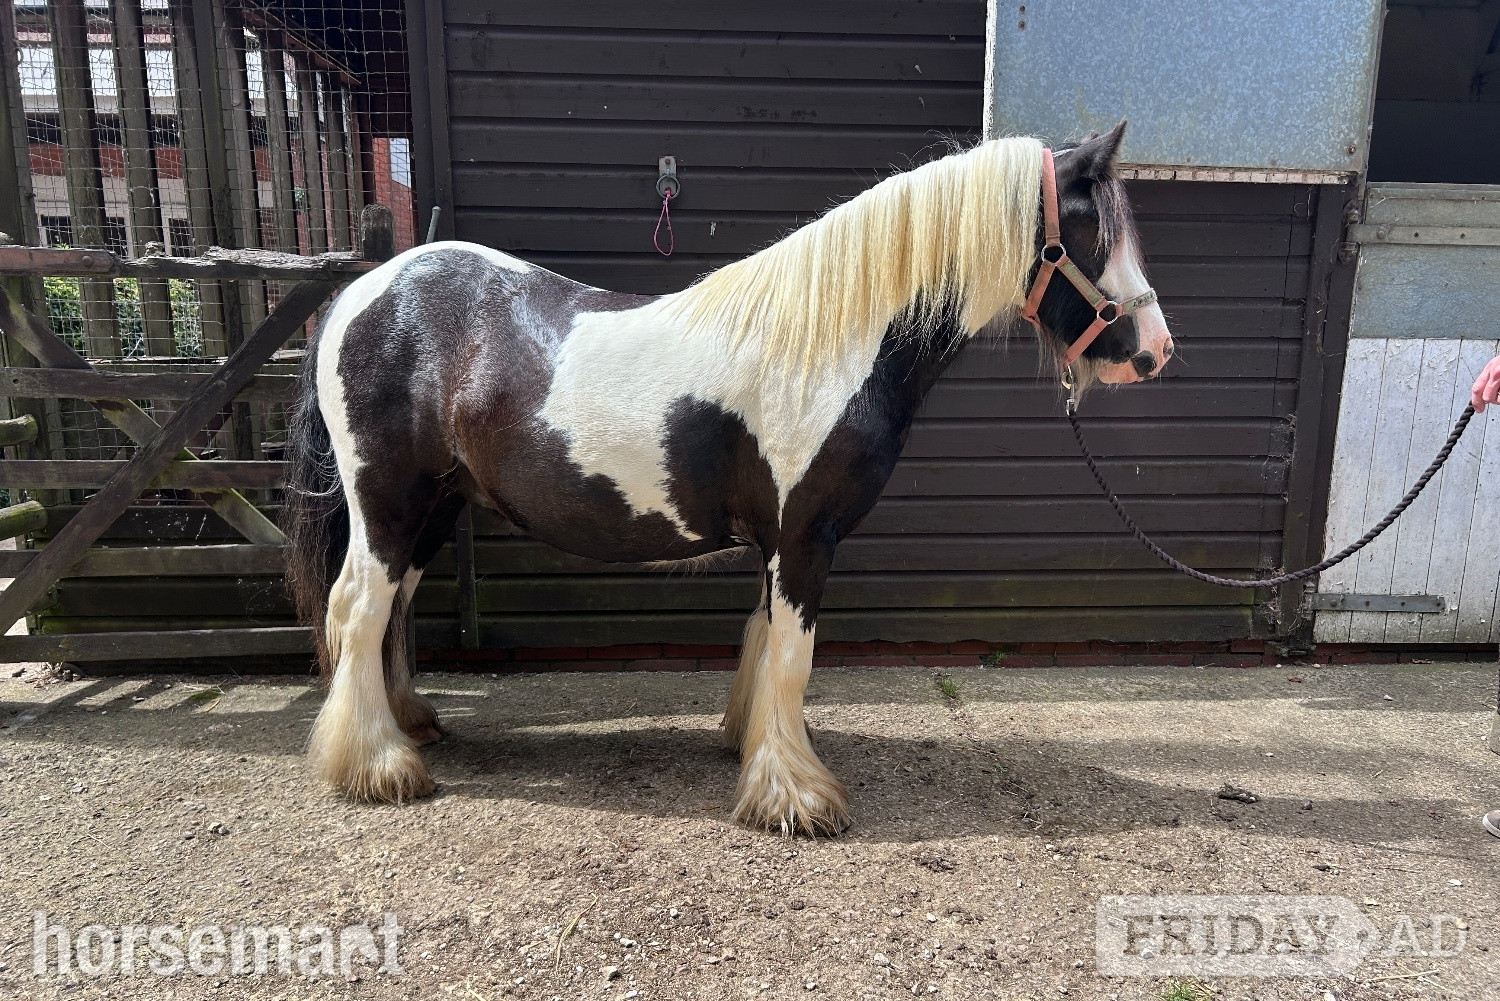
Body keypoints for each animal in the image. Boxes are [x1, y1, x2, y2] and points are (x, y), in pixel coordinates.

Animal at [283, 121, 1174, 836]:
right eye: (1091, 230)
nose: (1155, 349)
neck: (832, 341)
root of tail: (360, 293)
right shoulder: (807, 536)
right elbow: (793, 655)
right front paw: (797, 799)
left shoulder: (780, 540)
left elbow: (761, 641)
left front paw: (757, 753)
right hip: (387, 502)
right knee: (357, 609)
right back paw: (378, 765)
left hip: (430, 508)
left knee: (391, 612)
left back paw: (407, 724)